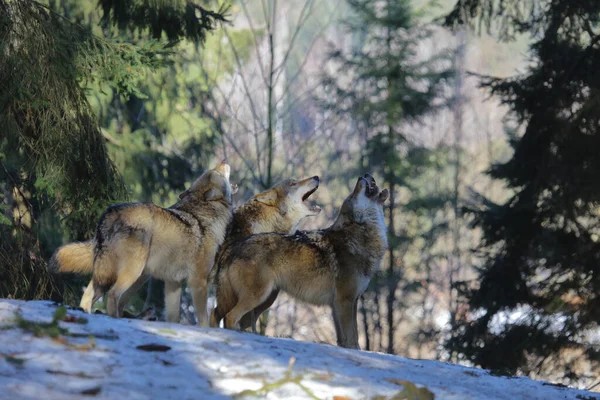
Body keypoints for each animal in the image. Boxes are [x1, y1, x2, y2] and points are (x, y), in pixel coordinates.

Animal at [48, 161, 234, 326]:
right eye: (217, 172)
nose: (224, 160)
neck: (205, 215)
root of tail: (111, 211)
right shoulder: (198, 281)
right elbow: (203, 319)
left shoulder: (173, 283)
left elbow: (173, 318)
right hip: (134, 273)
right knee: (113, 295)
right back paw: (115, 320)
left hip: (121, 275)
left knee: (90, 296)